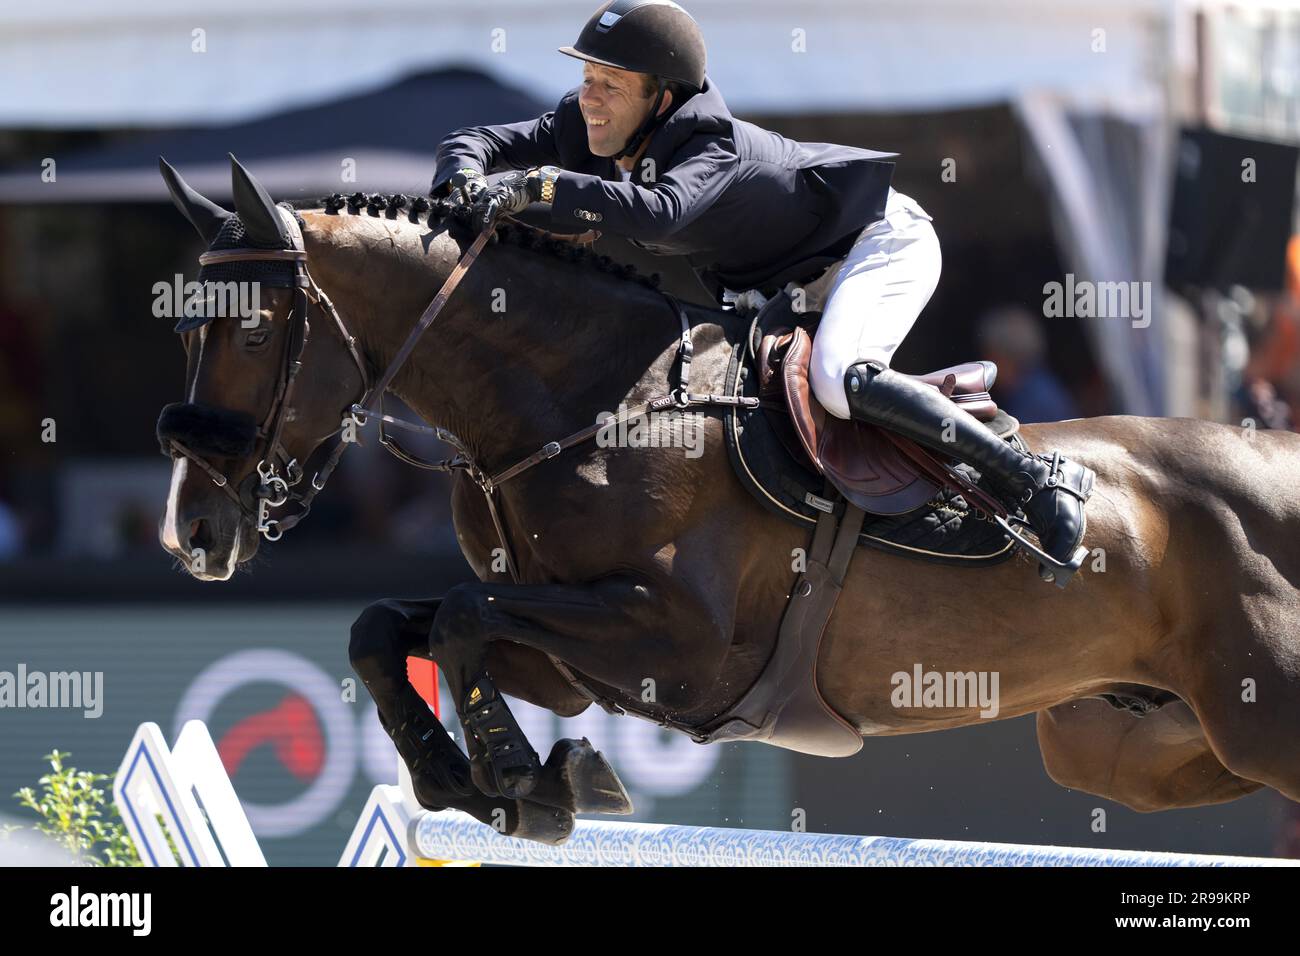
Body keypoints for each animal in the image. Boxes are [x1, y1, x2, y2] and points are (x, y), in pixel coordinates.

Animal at [157, 157, 1294, 842]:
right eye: (184, 327)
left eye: (251, 328)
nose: (195, 535)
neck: (587, 403)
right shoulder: (579, 663)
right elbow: (394, 627)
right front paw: (480, 780)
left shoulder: (678, 646)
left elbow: (463, 617)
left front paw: (527, 782)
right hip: (1139, 746)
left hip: (1254, 721)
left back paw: (1052, 506)